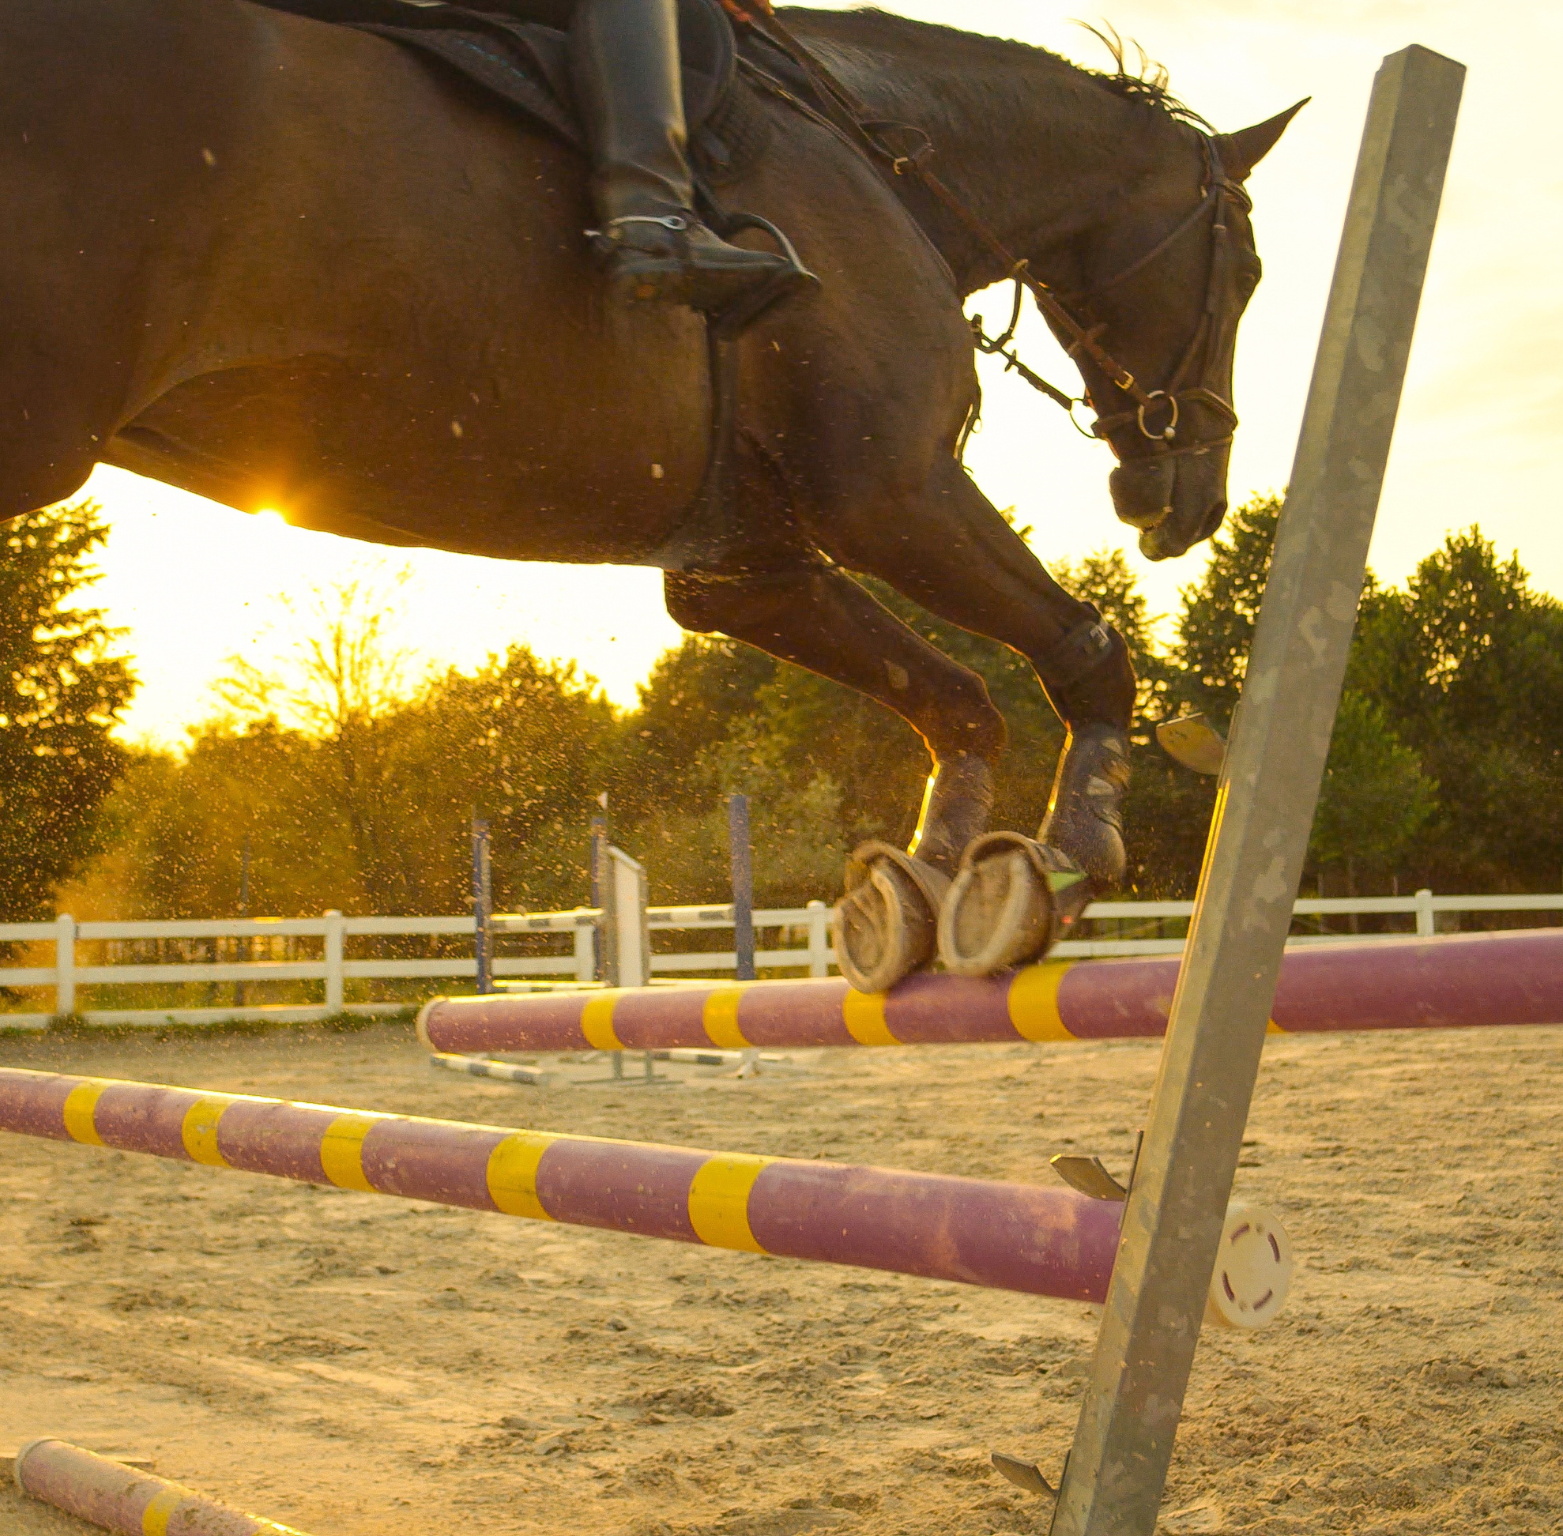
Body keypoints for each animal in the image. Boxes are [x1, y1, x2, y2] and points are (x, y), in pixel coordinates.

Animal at [0, 0, 1294, 987]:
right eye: (1247, 271)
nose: (1187, 500)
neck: (875, 157)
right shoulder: (894, 492)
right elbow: (1087, 651)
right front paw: (1068, 863)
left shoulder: (747, 569)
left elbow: (959, 701)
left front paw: (927, 886)